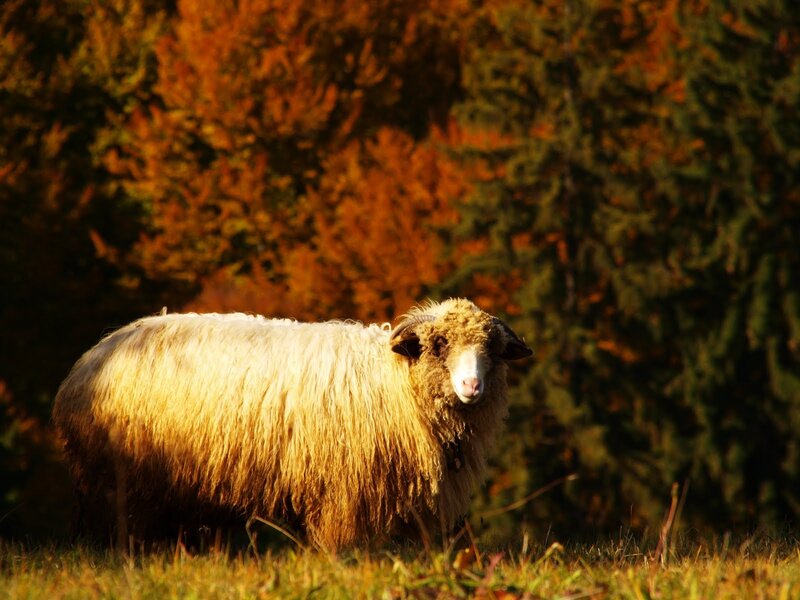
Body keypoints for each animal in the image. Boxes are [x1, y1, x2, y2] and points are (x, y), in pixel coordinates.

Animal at [52, 298, 532, 551]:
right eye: (439, 344)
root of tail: (91, 358)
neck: (394, 384)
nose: (472, 385)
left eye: (492, 349)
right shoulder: (344, 494)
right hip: (120, 481)